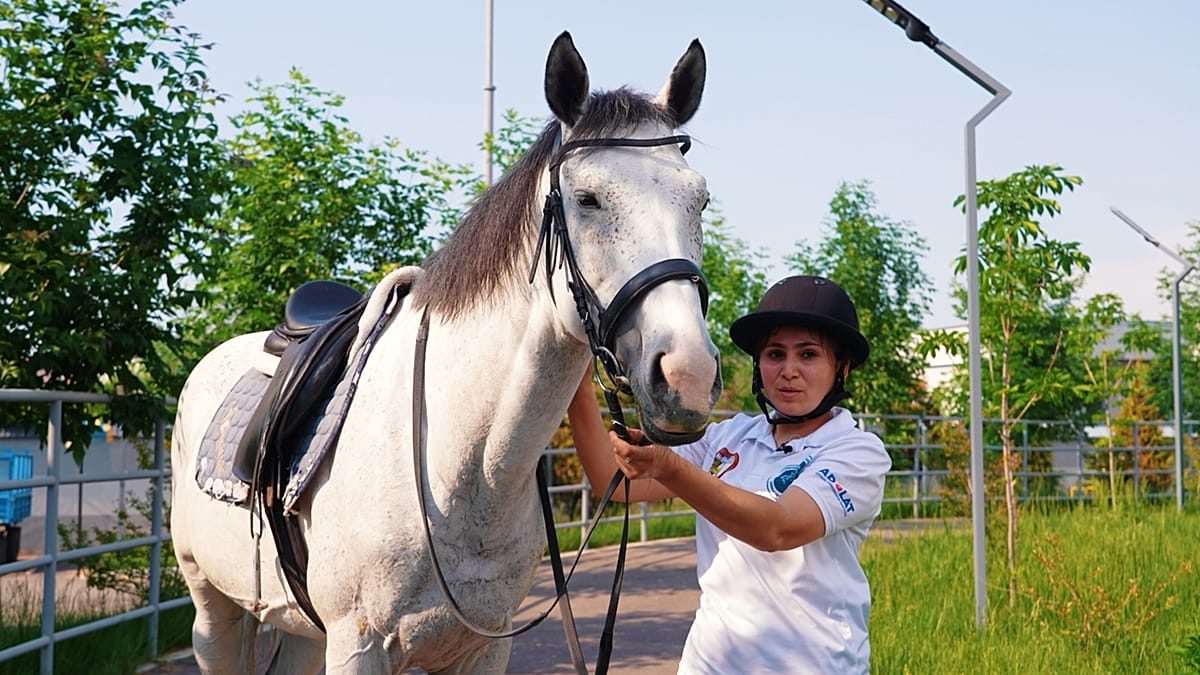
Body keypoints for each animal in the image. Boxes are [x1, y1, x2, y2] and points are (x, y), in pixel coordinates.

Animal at [170, 31, 720, 674]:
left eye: (701, 200)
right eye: (587, 199)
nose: (687, 375)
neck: (462, 471)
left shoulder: (484, 646)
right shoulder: (358, 644)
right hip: (214, 609)